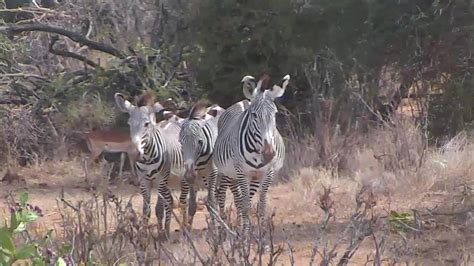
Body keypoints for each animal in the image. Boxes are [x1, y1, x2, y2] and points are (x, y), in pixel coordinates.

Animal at [114, 91, 184, 239]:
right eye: (129, 124)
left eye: (147, 124)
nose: (134, 153)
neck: (147, 158)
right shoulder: (144, 181)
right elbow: (146, 209)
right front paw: (145, 235)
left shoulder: (160, 181)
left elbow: (158, 209)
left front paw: (161, 235)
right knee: (170, 200)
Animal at [214, 74, 288, 232]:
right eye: (254, 115)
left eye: (275, 114)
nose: (268, 154)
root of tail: (244, 101)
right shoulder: (242, 173)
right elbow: (246, 207)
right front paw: (246, 235)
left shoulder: (267, 173)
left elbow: (261, 206)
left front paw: (263, 234)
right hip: (227, 172)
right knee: (223, 195)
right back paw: (225, 228)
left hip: (250, 177)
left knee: (239, 198)